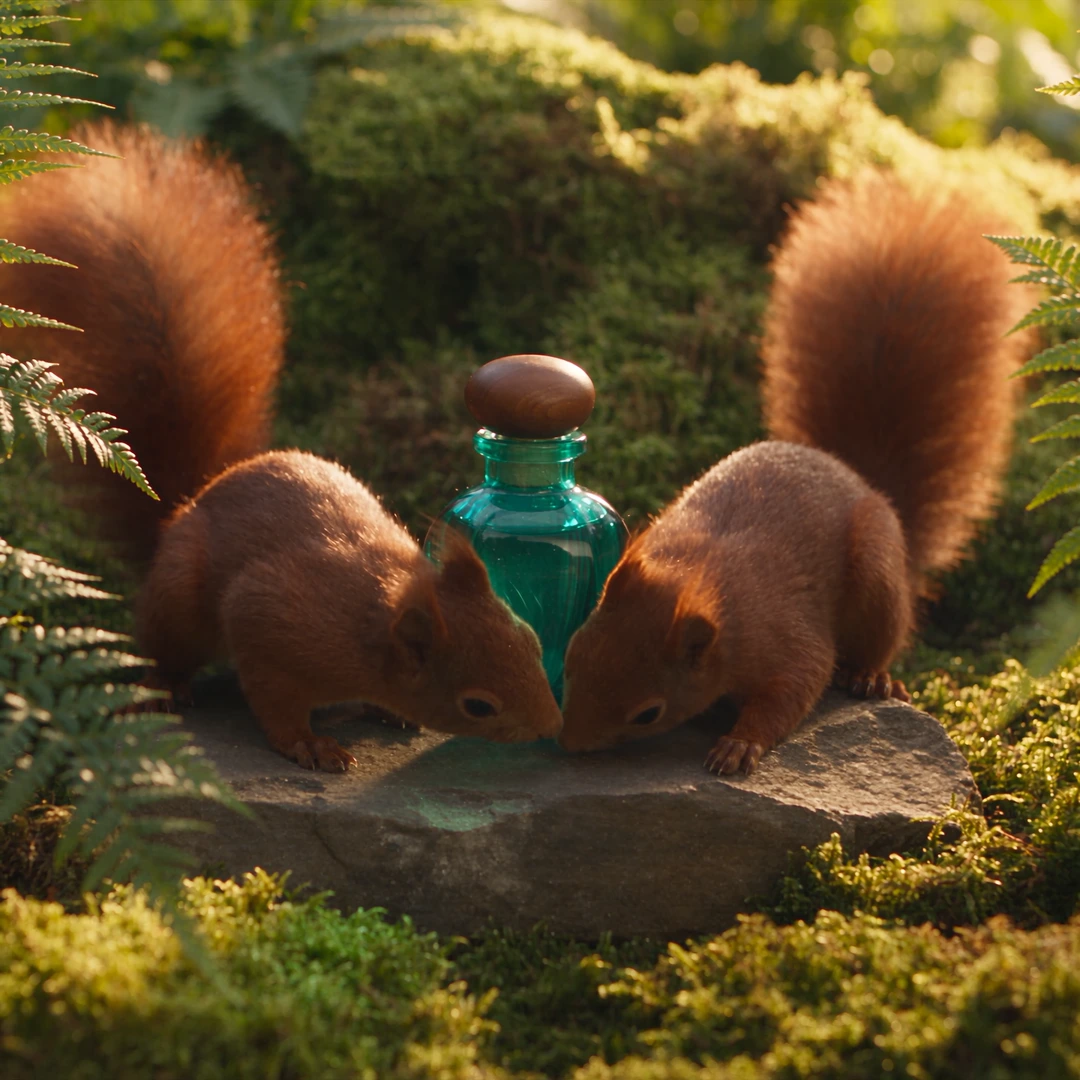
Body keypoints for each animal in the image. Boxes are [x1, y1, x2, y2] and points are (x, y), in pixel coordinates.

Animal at [0, 122, 562, 770]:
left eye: (530, 638)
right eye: (478, 705)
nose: (554, 724)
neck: (374, 620)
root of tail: (178, 513)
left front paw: (390, 711)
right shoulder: (269, 624)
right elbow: (274, 701)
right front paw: (310, 744)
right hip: (178, 601)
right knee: (161, 646)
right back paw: (165, 686)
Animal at [558, 172, 1035, 775]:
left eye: (648, 713)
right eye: (572, 655)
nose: (568, 744)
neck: (705, 584)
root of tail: (862, 479)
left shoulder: (785, 637)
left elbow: (798, 685)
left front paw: (739, 745)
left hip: (878, 579)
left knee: (879, 640)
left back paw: (873, 677)